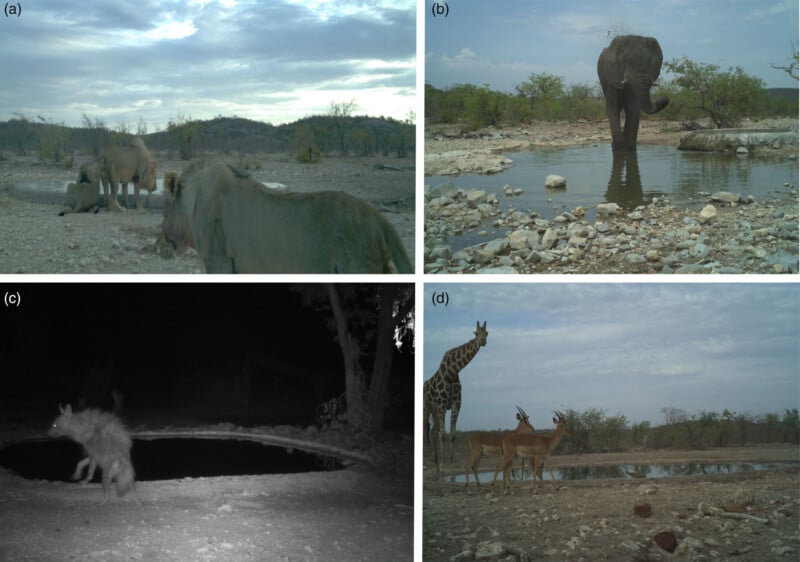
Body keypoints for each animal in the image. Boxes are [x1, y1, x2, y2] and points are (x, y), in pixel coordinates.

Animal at [424, 320, 488, 472]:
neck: (452, 372)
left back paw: (435, 464)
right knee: (427, 429)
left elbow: (452, 435)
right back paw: (434, 463)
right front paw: (443, 466)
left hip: (434, 410)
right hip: (427, 407)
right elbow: (443, 435)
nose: (483, 341)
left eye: (487, 333)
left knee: (433, 433)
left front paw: (450, 466)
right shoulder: (442, 404)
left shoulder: (456, 404)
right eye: (476, 333)